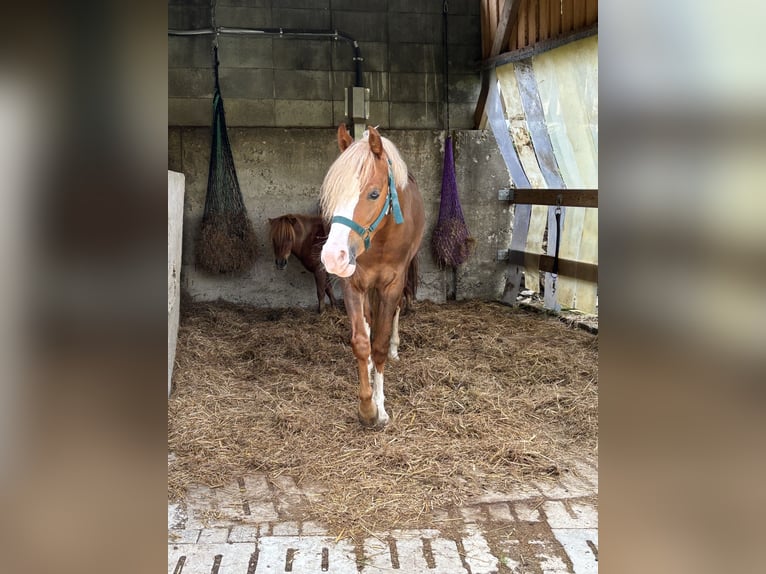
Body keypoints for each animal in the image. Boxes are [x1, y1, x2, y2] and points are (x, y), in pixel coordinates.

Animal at [319, 124, 425, 427]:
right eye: (332, 194)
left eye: (374, 194)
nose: (333, 256)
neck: (380, 240)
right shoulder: (353, 283)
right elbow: (362, 342)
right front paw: (366, 407)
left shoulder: (392, 284)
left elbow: (378, 343)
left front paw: (380, 407)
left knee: (395, 312)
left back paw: (394, 349)